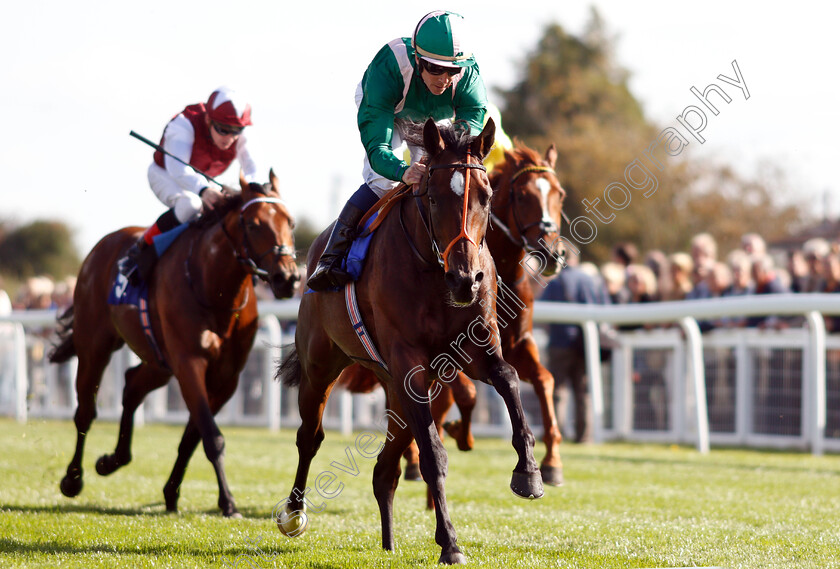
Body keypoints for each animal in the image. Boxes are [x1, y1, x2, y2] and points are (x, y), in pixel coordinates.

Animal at [48, 172, 298, 516]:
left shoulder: (226, 378)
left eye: (291, 222)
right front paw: (228, 502)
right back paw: (73, 479)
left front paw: (171, 493)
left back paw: (112, 461)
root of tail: (101, 247)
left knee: (132, 386)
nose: (288, 278)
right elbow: (211, 437)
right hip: (95, 347)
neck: (213, 288)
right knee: (85, 410)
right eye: (253, 224)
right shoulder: (189, 362)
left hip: (159, 362)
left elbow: (193, 437)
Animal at [278, 117, 544, 560]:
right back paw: (294, 513)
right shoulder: (408, 364)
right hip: (322, 366)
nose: (466, 279)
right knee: (309, 437)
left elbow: (508, 378)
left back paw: (388, 543)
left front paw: (529, 473)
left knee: (384, 469)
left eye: (487, 197)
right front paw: (451, 542)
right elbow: (434, 455)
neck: (435, 274)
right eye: (433, 198)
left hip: (397, 392)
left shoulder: (472, 351)